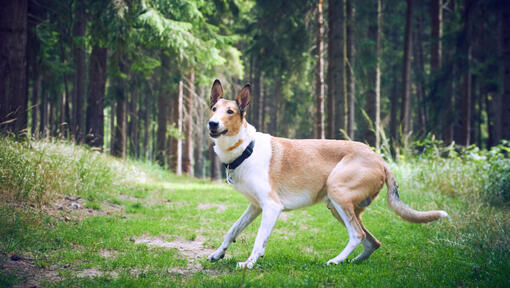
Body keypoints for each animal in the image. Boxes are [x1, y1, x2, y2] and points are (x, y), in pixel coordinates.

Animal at [205, 79, 448, 268]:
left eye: (230, 112)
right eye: (213, 108)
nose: (212, 123)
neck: (246, 148)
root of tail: (380, 160)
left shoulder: (271, 206)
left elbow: (259, 240)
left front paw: (249, 263)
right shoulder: (255, 206)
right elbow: (232, 230)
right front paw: (218, 253)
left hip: (337, 193)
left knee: (357, 235)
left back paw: (336, 260)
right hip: (338, 207)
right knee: (372, 241)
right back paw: (352, 262)